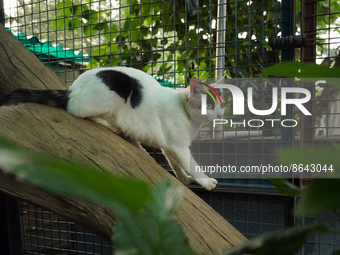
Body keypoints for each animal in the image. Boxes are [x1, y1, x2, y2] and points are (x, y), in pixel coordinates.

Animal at [0, 66, 226, 190]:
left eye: (222, 104)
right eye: (209, 105)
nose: (220, 115)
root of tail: (71, 89)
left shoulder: (169, 146)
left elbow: (176, 164)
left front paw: (184, 178)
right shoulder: (178, 146)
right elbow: (191, 163)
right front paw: (206, 182)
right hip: (118, 88)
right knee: (76, 111)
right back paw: (114, 126)